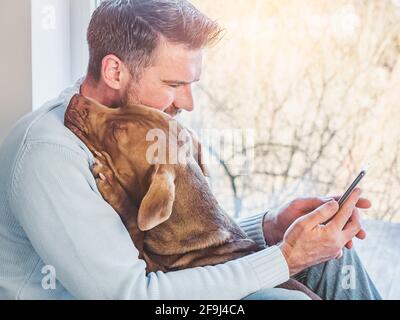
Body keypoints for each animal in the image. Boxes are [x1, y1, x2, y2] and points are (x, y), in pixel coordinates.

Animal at [65, 93, 322, 300]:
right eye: (119, 105)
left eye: (116, 132)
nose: (76, 98)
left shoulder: (152, 270)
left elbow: (134, 223)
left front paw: (111, 184)